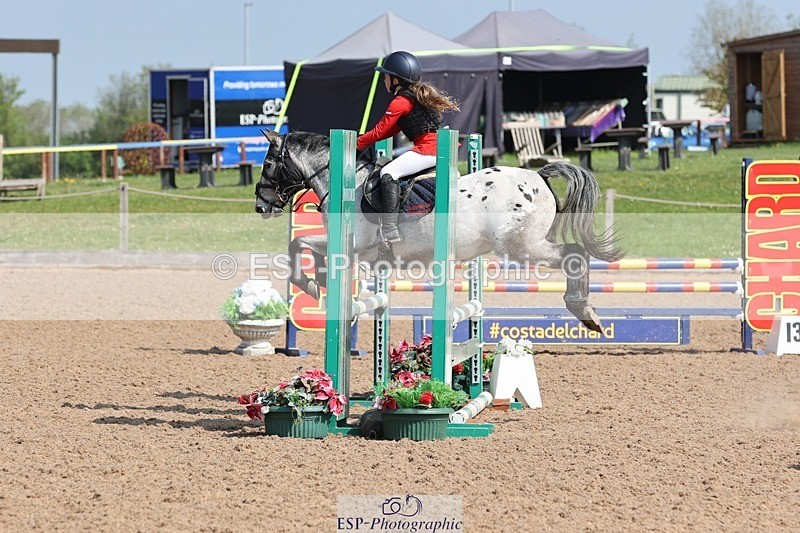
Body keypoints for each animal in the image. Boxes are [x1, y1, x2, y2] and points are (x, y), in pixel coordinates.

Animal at [254, 129, 623, 332]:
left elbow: (298, 243)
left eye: (269, 164)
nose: (261, 205)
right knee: (575, 254)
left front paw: (309, 284)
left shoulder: (353, 247)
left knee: (574, 254)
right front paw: (316, 282)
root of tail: (538, 175)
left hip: (520, 246)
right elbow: (303, 245)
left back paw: (583, 310)